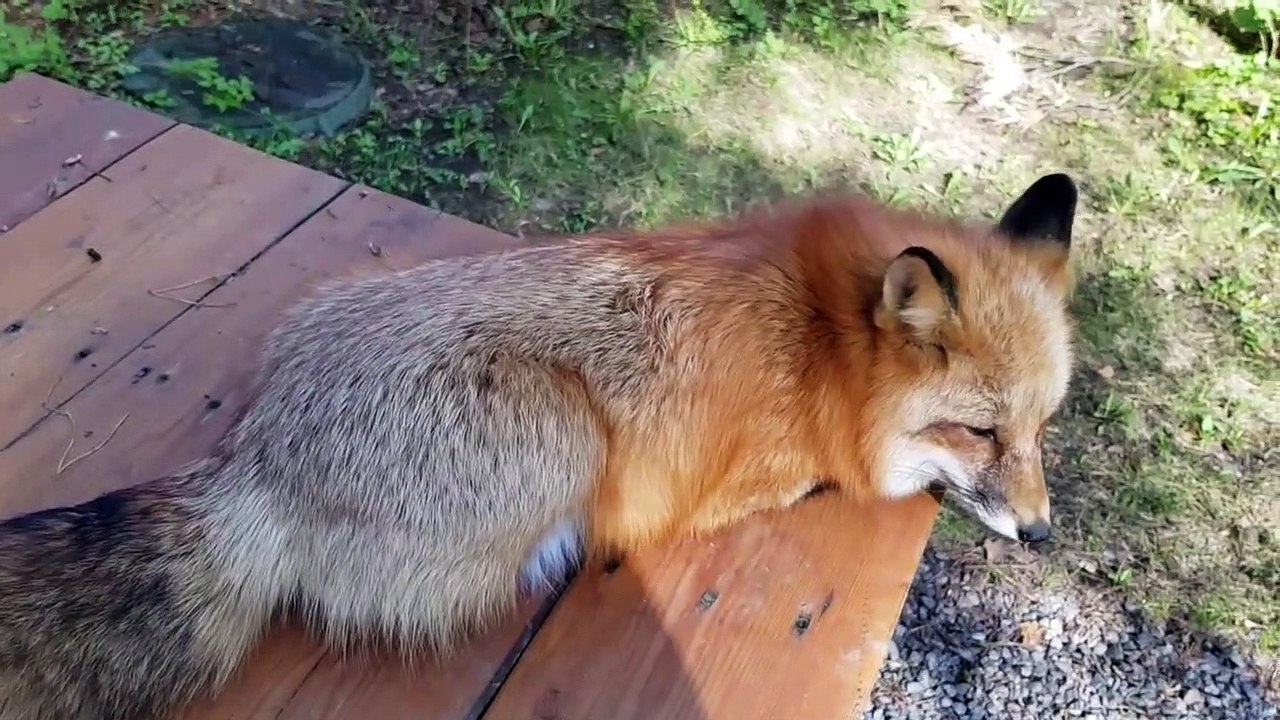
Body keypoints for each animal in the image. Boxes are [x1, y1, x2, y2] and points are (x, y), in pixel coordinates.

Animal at [0, 172, 1079, 720]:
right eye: (978, 431)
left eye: (1040, 428)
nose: (1039, 534)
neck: (819, 340)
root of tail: (257, 464)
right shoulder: (760, 472)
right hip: (566, 434)